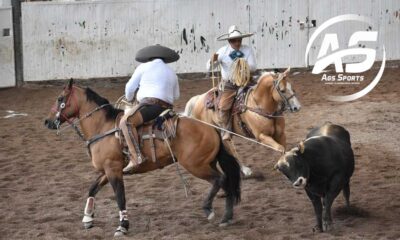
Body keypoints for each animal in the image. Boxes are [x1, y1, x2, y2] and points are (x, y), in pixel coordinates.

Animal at [43, 80, 241, 236]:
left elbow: (120, 197)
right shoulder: (108, 170)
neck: (103, 126)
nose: (47, 121)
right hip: (207, 163)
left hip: (196, 165)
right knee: (226, 182)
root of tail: (211, 127)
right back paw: (227, 218)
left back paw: (209, 209)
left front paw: (122, 226)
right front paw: (87, 219)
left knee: (220, 179)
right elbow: (92, 189)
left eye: (60, 99)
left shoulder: (113, 170)